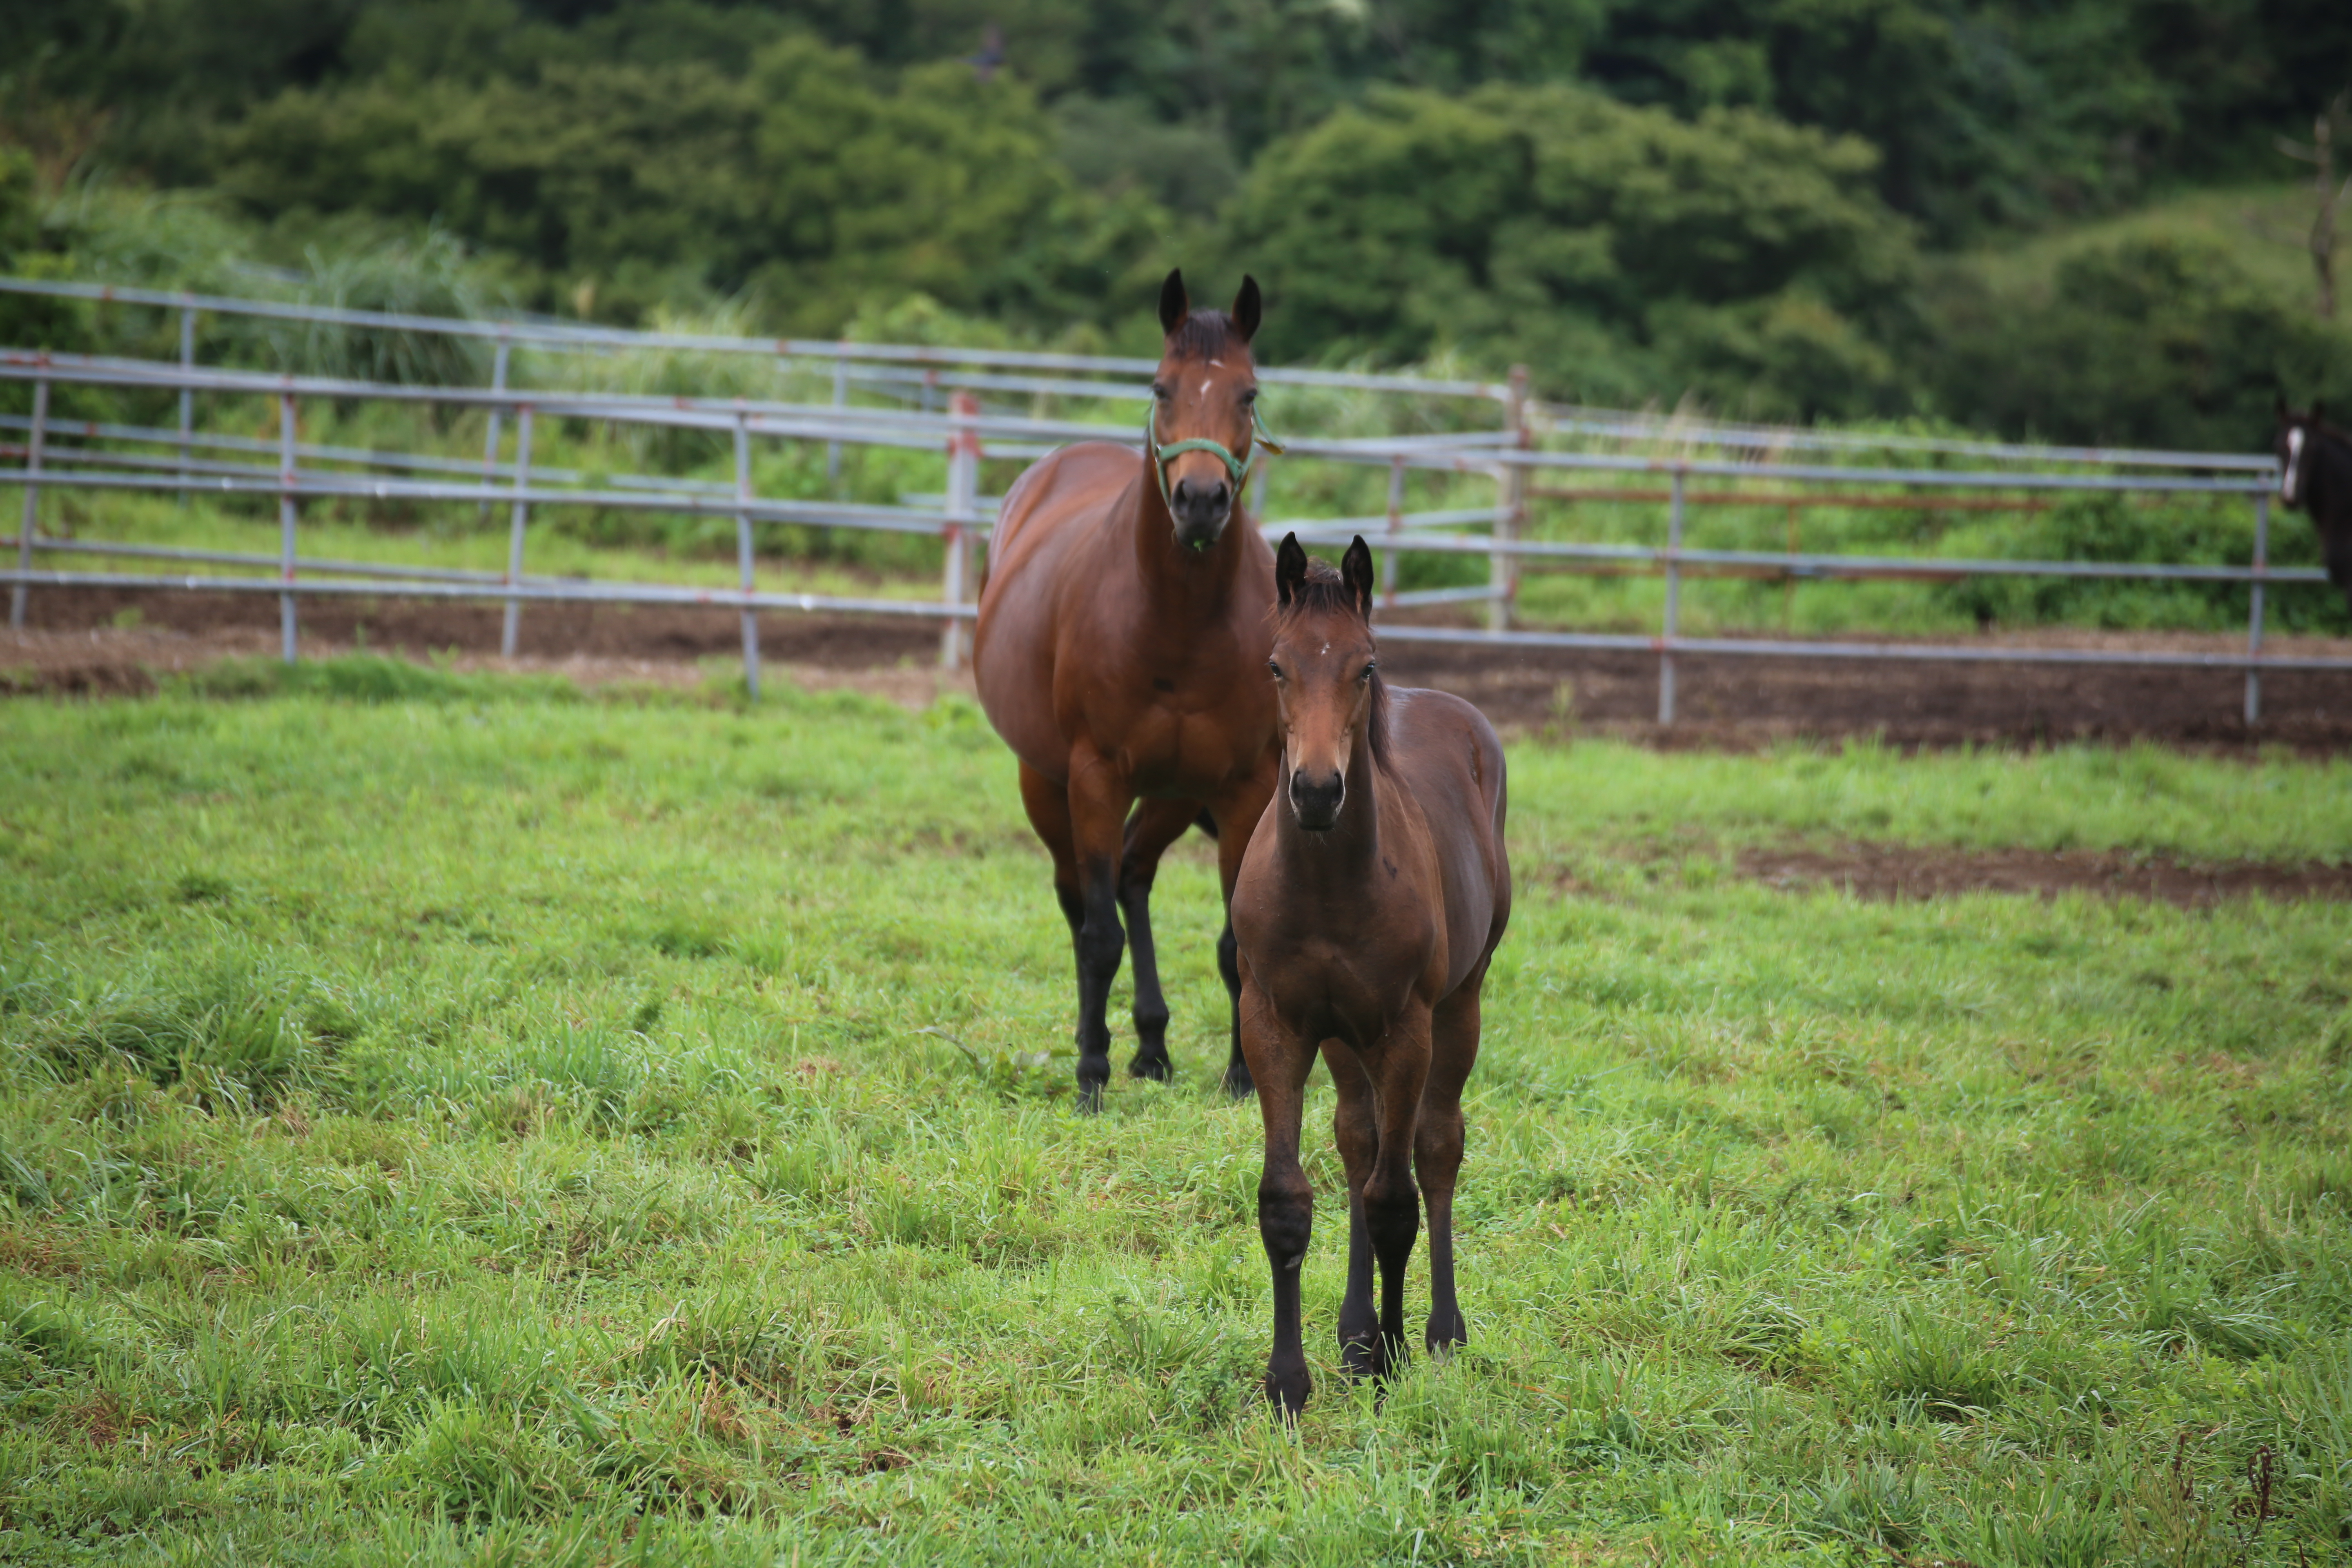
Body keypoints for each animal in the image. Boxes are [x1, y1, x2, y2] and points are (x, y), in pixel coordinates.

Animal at [1232, 533, 1505, 1420]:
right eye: (1276, 665)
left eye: (1365, 665)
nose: (1318, 791)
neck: (1327, 883)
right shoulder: (1275, 1024)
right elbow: (1288, 1200)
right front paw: (1289, 1382)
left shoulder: (1405, 1028)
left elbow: (1396, 1201)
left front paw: (1392, 1360)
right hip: (1344, 1038)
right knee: (1358, 1139)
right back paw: (1354, 1333)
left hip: (1460, 1005)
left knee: (1435, 1147)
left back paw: (1439, 1332)